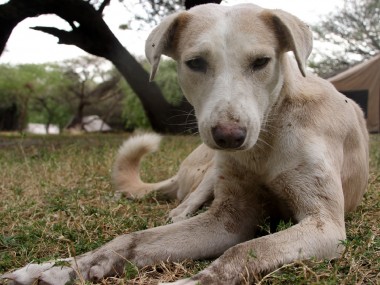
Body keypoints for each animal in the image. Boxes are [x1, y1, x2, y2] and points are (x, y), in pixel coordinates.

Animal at [0, 2, 368, 284]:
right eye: (196, 63)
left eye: (261, 62)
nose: (229, 137)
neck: (268, 136)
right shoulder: (229, 219)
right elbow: (133, 239)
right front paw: (62, 267)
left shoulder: (325, 226)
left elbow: (241, 252)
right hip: (210, 170)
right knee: (183, 205)